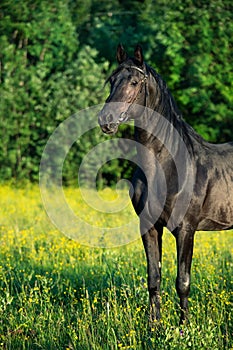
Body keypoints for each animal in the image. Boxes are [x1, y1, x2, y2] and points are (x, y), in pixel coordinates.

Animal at [98, 44, 233, 326]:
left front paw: (184, 328)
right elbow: (154, 278)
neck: (168, 167)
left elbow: (182, 282)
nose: (106, 120)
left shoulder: (186, 230)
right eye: (112, 80)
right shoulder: (149, 227)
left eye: (134, 82)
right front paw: (154, 327)